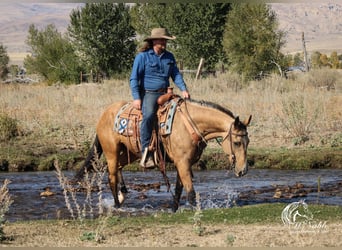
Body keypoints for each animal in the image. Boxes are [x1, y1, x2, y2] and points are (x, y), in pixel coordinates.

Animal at [75, 94, 251, 212]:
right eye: (236, 143)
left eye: (247, 142)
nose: (243, 171)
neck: (189, 125)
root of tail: (104, 114)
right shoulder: (182, 163)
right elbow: (191, 192)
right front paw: (196, 211)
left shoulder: (185, 164)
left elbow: (179, 190)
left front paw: (174, 210)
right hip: (112, 151)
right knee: (111, 177)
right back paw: (118, 206)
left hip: (129, 152)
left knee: (118, 168)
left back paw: (122, 194)